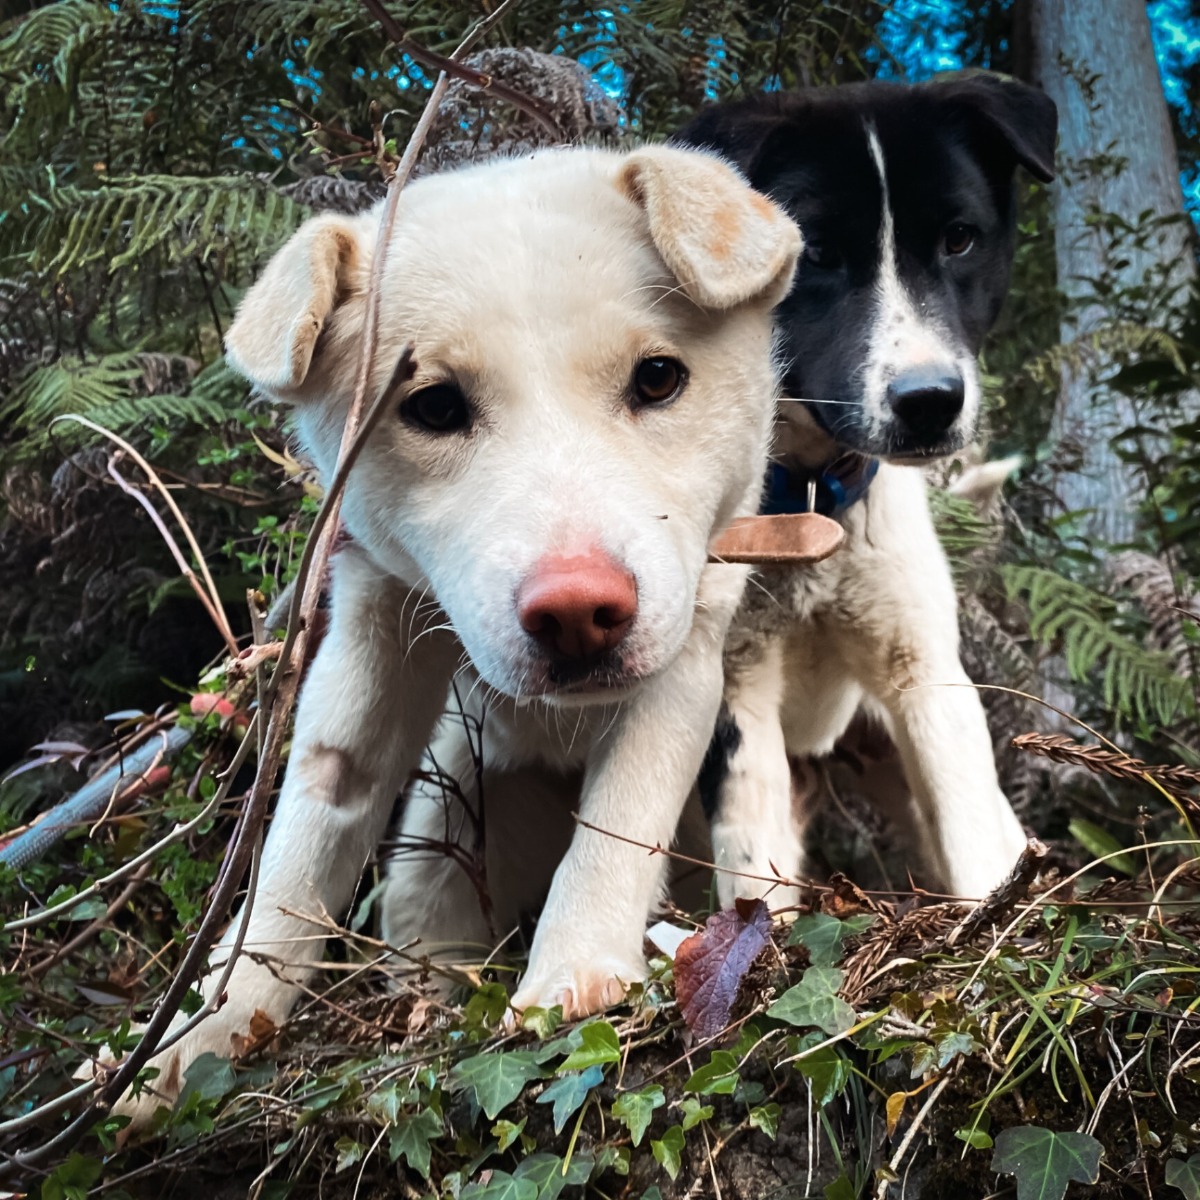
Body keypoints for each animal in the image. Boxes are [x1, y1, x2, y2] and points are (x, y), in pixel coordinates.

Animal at [103, 145, 796, 1128]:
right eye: (432, 408)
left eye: (659, 380)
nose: (578, 612)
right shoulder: (372, 630)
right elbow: (299, 845)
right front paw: (195, 1035)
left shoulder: (683, 647)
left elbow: (619, 818)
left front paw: (574, 976)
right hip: (441, 840)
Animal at [676, 75, 1060, 902]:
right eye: (817, 252)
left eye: (959, 238)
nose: (930, 401)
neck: (809, 499)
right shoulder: (734, 697)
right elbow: (755, 886)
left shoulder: (927, 682)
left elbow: (978, 861)